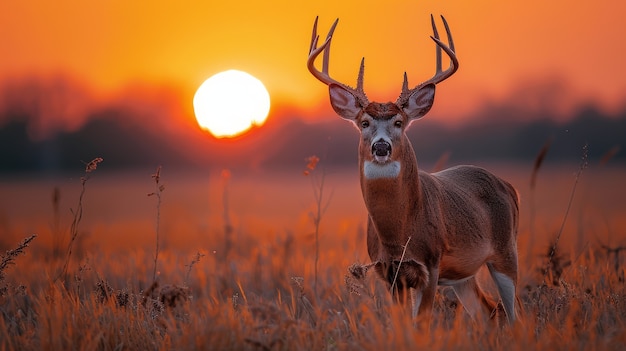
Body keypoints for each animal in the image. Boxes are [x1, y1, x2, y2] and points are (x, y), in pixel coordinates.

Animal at [306, 15, 516, 326]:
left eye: (399, 122)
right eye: (364, 122)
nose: (381, 146)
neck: (398, 233)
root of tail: (508, 186)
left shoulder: (430, 265)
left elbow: (422, 324)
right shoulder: (391, 274)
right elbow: (403, 325)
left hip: (506, 252)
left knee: (515, 313)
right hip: (464, 275)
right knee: (489, 311)